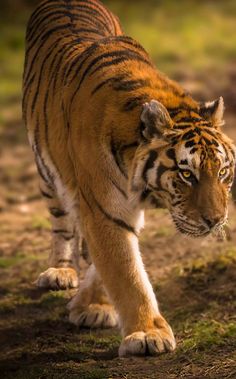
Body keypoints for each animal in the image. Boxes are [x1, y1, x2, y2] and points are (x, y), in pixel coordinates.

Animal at [22, 0, 234, 358]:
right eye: (186, 174)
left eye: (222, 172)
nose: (215, 222)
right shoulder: (104, 209)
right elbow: (127, 273)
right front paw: (147, 334)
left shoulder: (112, 211)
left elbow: (109, 264)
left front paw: (89, 305)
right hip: (47, 171)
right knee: (62, 222)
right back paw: (60, 271)